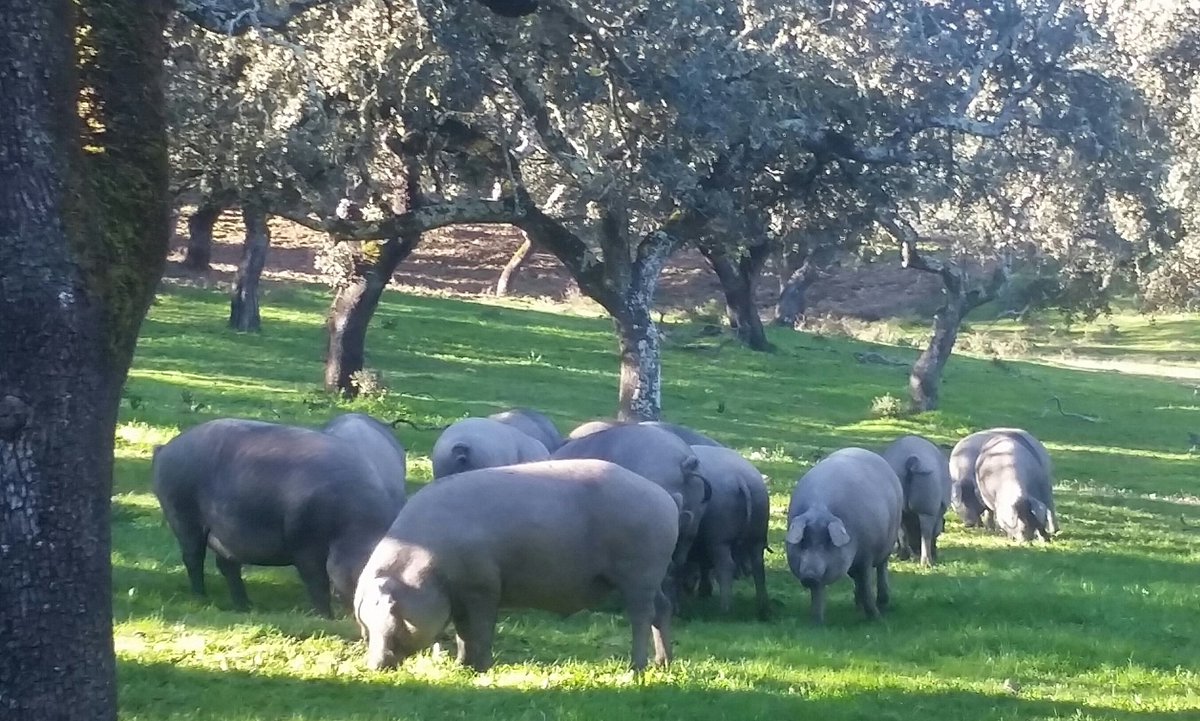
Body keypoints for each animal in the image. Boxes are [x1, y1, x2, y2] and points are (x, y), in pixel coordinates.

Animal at [152, 419, 396, 614]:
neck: (353, 528)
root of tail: (166, 448)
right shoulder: (305, 546)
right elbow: (317, 583)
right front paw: (326, 617)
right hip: (181, 514)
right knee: (193, 558)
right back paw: (202, 598)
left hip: (222, 535)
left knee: (227, 566)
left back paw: (246, 606)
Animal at [350, 458, 681, 671]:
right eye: (364, 622)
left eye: (394, 611)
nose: (375, 666)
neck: (430, 562)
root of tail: (666, 497)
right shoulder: (460, 597)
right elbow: (462, 633)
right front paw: (461, 666)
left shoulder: (483, 587)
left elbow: (480, 629)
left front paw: (480, 670)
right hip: (652, 577)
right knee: (663, 608)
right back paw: (662, 664)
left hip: (639, 573)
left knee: (641, 616)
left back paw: (635, 668)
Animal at [686, 443, 768, 619]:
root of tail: (740, 478)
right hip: (757, 537)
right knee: (758, 566)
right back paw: (763, 609)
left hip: (719, 539)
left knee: (726, 566)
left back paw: (724, 610)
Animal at [787, 446, 902, 619]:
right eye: (803, 542)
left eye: (827, 543)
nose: (809, 576)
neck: (819, 509)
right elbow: (818, 593)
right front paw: (816, 620)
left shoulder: (867, 555)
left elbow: (867, 585)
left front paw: (876, 618)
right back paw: (858, 606)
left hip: (890, 539)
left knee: (881, 567)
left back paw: (881, 604)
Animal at [883, 431, 945, 568]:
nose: (916, 550)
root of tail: (910, 461)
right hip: (926, 508)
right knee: (926, 533)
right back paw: (927, 562)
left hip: (899, 509)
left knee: (902, 532)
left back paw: (904, 555)